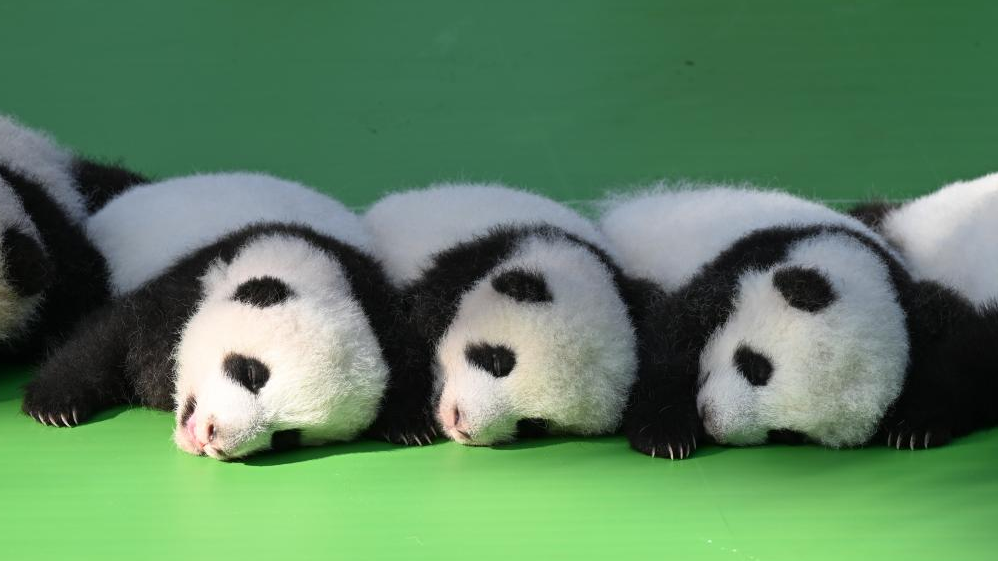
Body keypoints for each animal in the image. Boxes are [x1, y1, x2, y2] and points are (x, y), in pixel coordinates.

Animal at [23, 173, 427, 459]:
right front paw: (53, 404)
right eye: (251, 373)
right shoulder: (191, 279)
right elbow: (110, 333)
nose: (211, 438)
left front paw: (410, 423)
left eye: (287, 436)